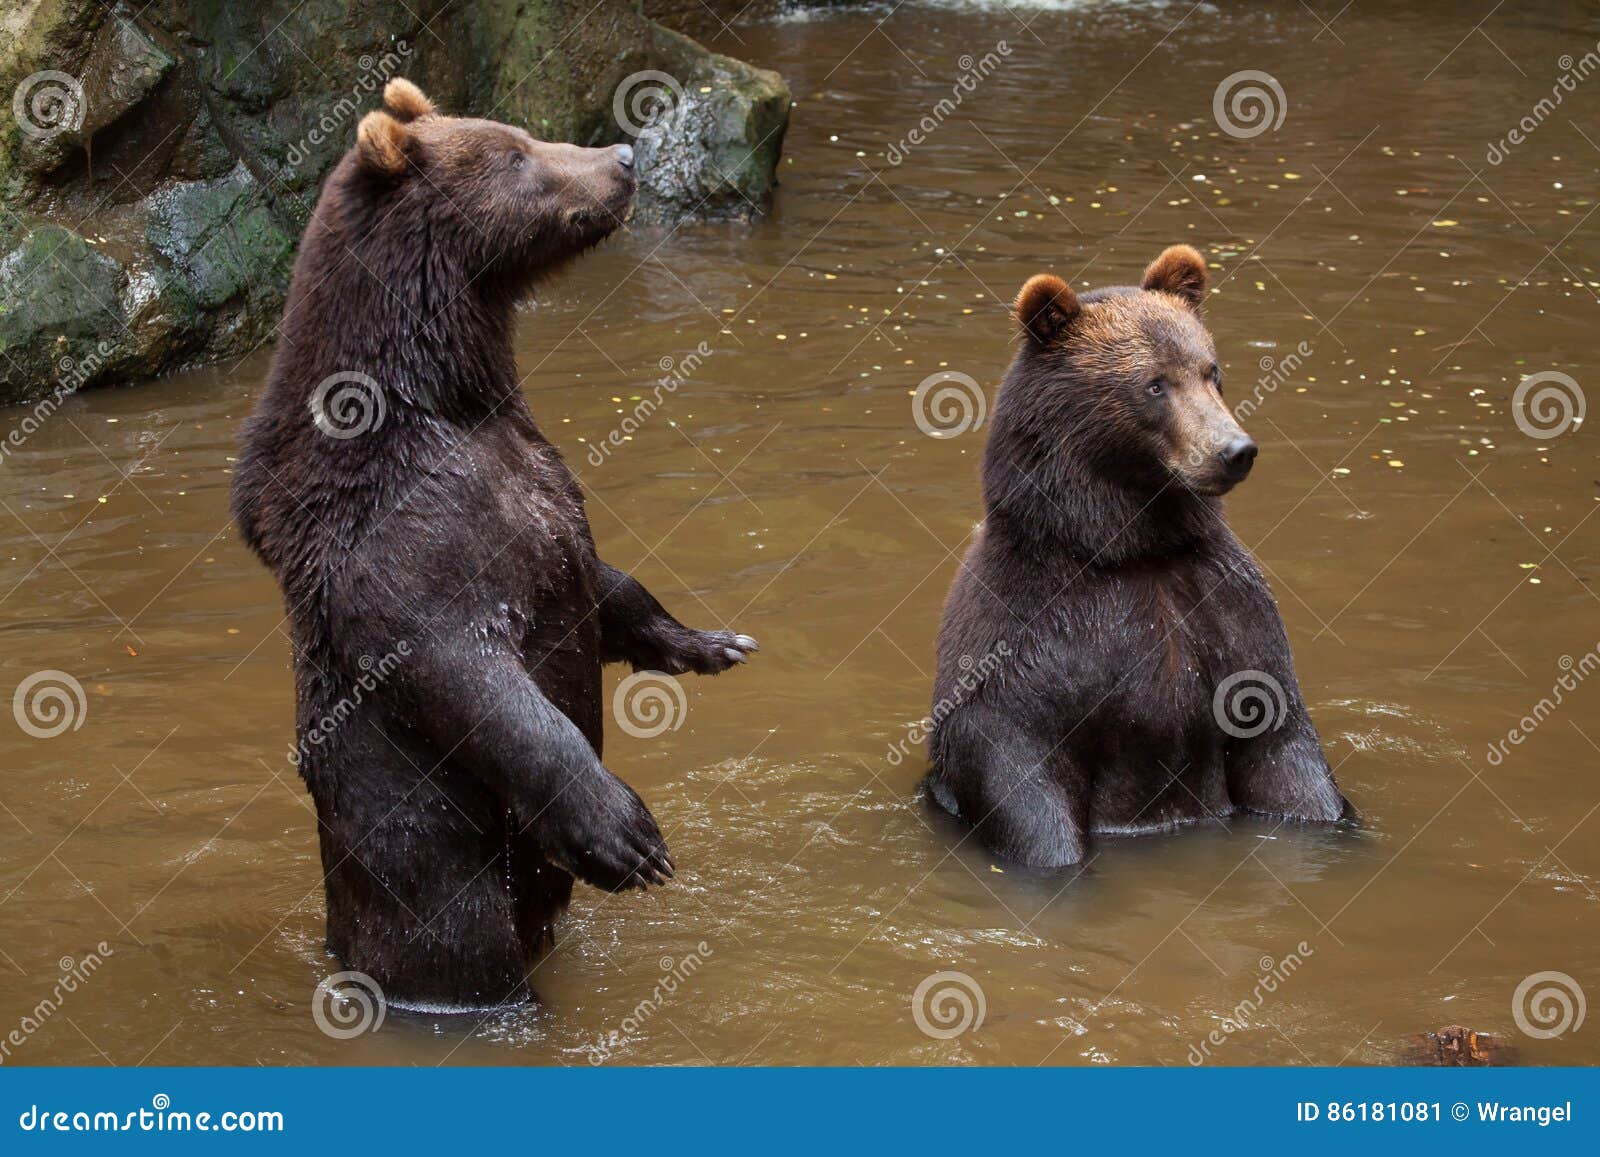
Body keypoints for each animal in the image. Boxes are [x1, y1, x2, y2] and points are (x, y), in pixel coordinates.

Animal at [232, 81, 755, 1011]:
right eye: (515, 156)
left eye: (520, 133)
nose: (623, 157)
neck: (445, 394)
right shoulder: (400, 531)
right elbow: (464, 669)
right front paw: (630, 834)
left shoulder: (536, 484)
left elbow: (595, 575)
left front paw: (706, 639)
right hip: (426, 863)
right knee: (456, 949)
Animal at [928, 244, 1350, 864]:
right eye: (1155, 384)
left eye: (1211, 371)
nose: (1235, 450)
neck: (1133, 548)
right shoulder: (1030, 635)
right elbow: (1019, 767)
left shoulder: (1225, 607)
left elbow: (1282, 746)